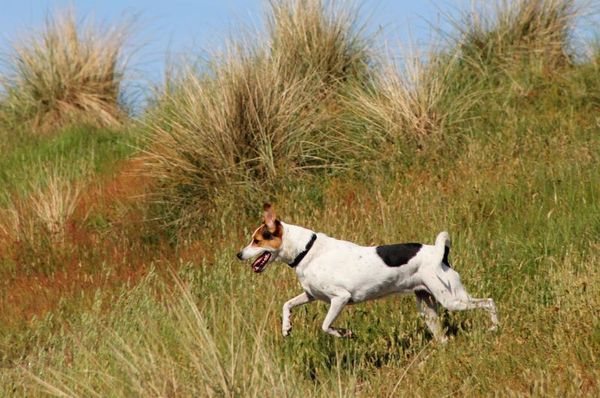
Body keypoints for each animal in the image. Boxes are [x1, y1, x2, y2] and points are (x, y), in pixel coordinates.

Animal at [237, 204, 500, 340]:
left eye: (257, 240)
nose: (238, 254)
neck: (306, 250)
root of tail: (440, 253)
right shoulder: (311, 295)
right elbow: (287, 305)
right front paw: (286, 327)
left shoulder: (340, 298)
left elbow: (325, 326)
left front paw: (345, 333)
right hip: (428, 307)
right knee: (443, 335)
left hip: (452, 300)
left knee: (489, 302)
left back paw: (495, 327)